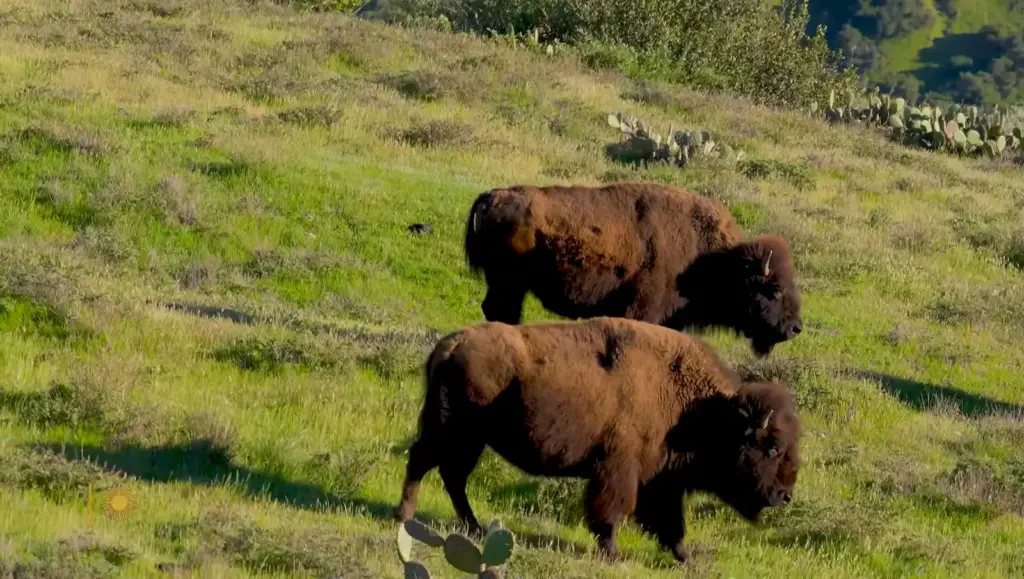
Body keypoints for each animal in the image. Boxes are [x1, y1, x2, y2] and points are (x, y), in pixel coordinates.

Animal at [394, 317, 802, 563]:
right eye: (772, 447)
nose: (784, 496)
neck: (698, 407)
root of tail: (450, 344)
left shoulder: (660, 480)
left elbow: (670, 522)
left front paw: (685, 558)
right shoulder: (620, 470)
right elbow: (612, 511)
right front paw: (613, 554)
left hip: (469, 439)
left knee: (451, 476)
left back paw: (473, 528)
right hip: (452, 431)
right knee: (422, 463)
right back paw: (406, 516)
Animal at [463, 182, 802, 356]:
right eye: (774, 289)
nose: (795, 328)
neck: (711, 258)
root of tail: (491, 196)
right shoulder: (641, 310)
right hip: (509, 282)